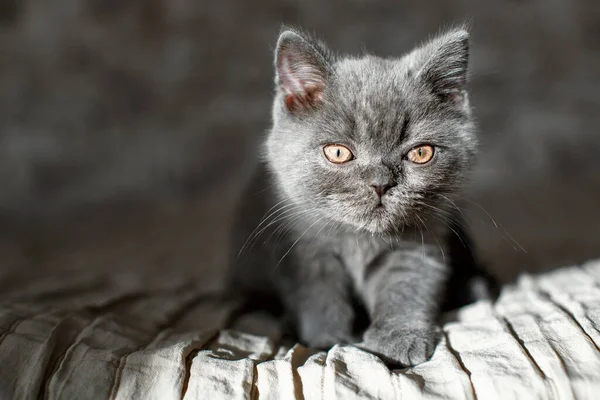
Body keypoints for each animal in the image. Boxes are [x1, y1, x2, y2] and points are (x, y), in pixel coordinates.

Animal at [227, 26, 494, 368]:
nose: (380, 183)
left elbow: (408, 284)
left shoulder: (423, 239)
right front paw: (328, 340)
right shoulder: (300, 250)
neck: (360, 236)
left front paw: (400, 338)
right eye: (338, 153)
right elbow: (319, 294)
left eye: (421, 153)